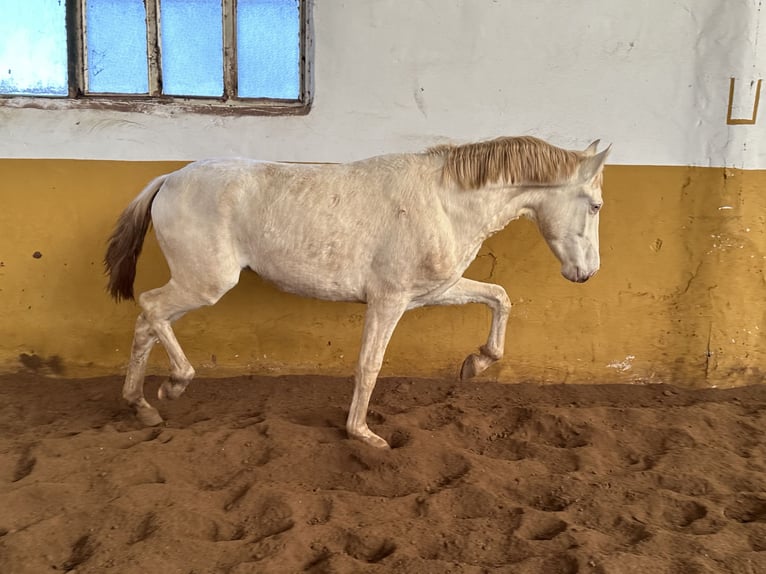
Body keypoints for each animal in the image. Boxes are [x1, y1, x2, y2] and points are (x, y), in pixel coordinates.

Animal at [106, 136, 612, 450]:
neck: (444, 203)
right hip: (205, 283)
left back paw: (142, 407)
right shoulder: (389, 300)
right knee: (151, 309)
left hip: (195, 283)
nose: (587, 273)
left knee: (147, 323)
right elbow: (369, 365)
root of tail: (169, 179)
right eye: (595, 205)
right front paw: (364, 435)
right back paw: (173, 386)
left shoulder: (433, 291)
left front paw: (477, 363)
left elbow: (499, 296)